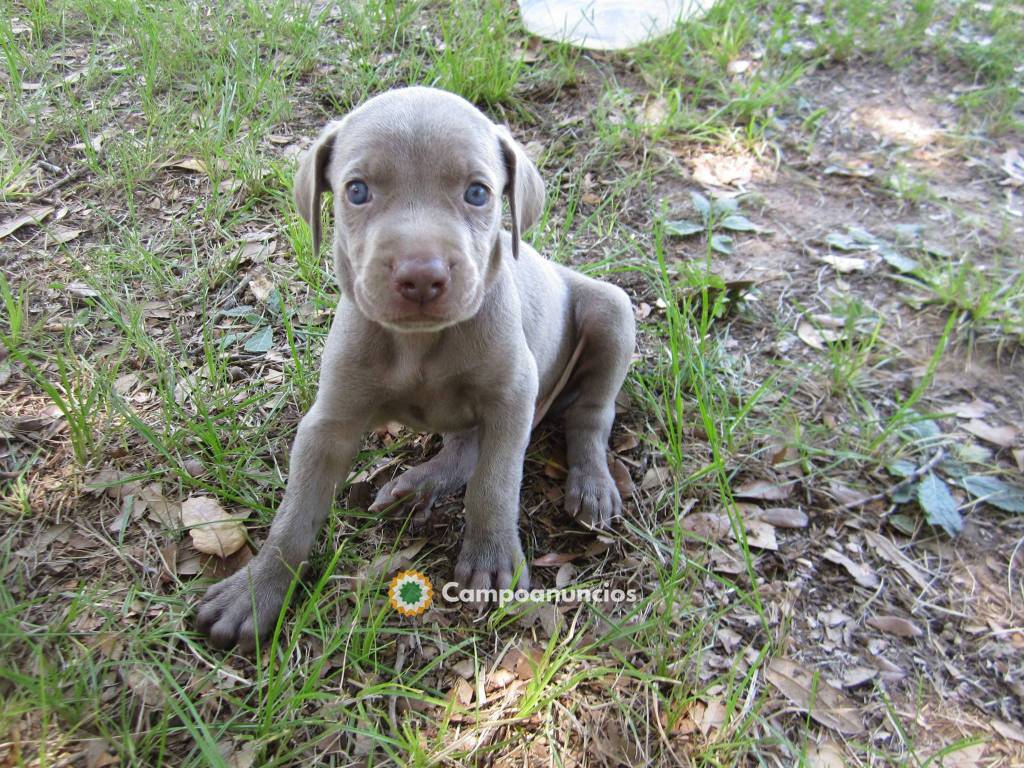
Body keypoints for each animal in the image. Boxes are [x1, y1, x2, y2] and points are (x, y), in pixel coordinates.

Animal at [195, 87, 634, 651]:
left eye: (478, 193)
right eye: (357, 190)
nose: (421, 276)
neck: (420, 344)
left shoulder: (513, 395)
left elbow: (496, 483)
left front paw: (490, 558)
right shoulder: (329, 423)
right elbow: (294, 516)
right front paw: (256, 589)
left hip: (611, 311)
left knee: (590, 416)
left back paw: (592, 484)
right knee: (466, 449)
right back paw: (419, 484)